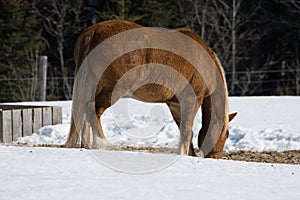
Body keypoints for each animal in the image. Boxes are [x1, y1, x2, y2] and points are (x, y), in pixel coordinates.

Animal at [65, 20, 237, 158]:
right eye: (227, 134)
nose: (216, 157)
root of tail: (94, 32)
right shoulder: (192, 99)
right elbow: (187, 131)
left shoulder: (175, 104)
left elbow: (184, 130)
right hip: (113, 90)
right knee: (92, 108)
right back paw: (101, 144)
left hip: (93, 85)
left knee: (86, 112)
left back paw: (87, 145)